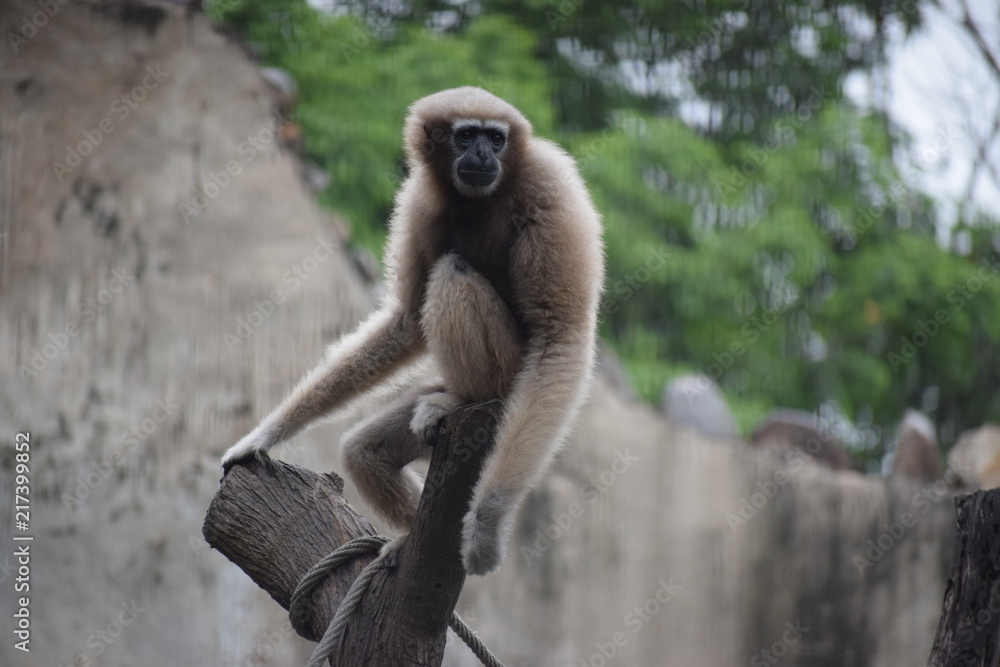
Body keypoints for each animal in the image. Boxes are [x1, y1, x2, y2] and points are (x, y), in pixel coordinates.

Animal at [222, 86, 605, 575]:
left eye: (496, 138)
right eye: (467, 136)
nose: (483, 153)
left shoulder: (551, 186)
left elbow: (561, 338)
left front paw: (488, 521)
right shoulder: (420, 201)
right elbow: (405, 322)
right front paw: (265, 434)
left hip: (513, 378)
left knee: (453, 274)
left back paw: (462, 399)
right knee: (364, 450)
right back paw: (408, 531)